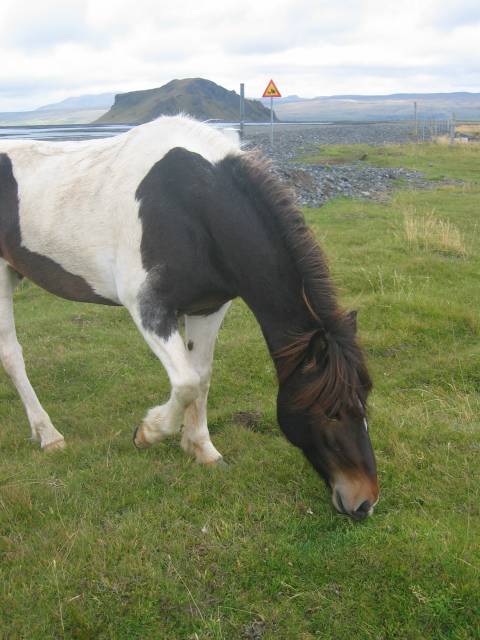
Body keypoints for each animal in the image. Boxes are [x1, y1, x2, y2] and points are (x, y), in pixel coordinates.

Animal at [0, 116, 376, 520]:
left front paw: (201, 449)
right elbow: (186, 383)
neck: (196, 205)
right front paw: (147, 433)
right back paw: (49, 435)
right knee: (12, 355)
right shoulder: (148, 308)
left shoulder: (207, 307)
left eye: (364, 402)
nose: (365, 501)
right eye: (331, 412)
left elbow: (202, 376)